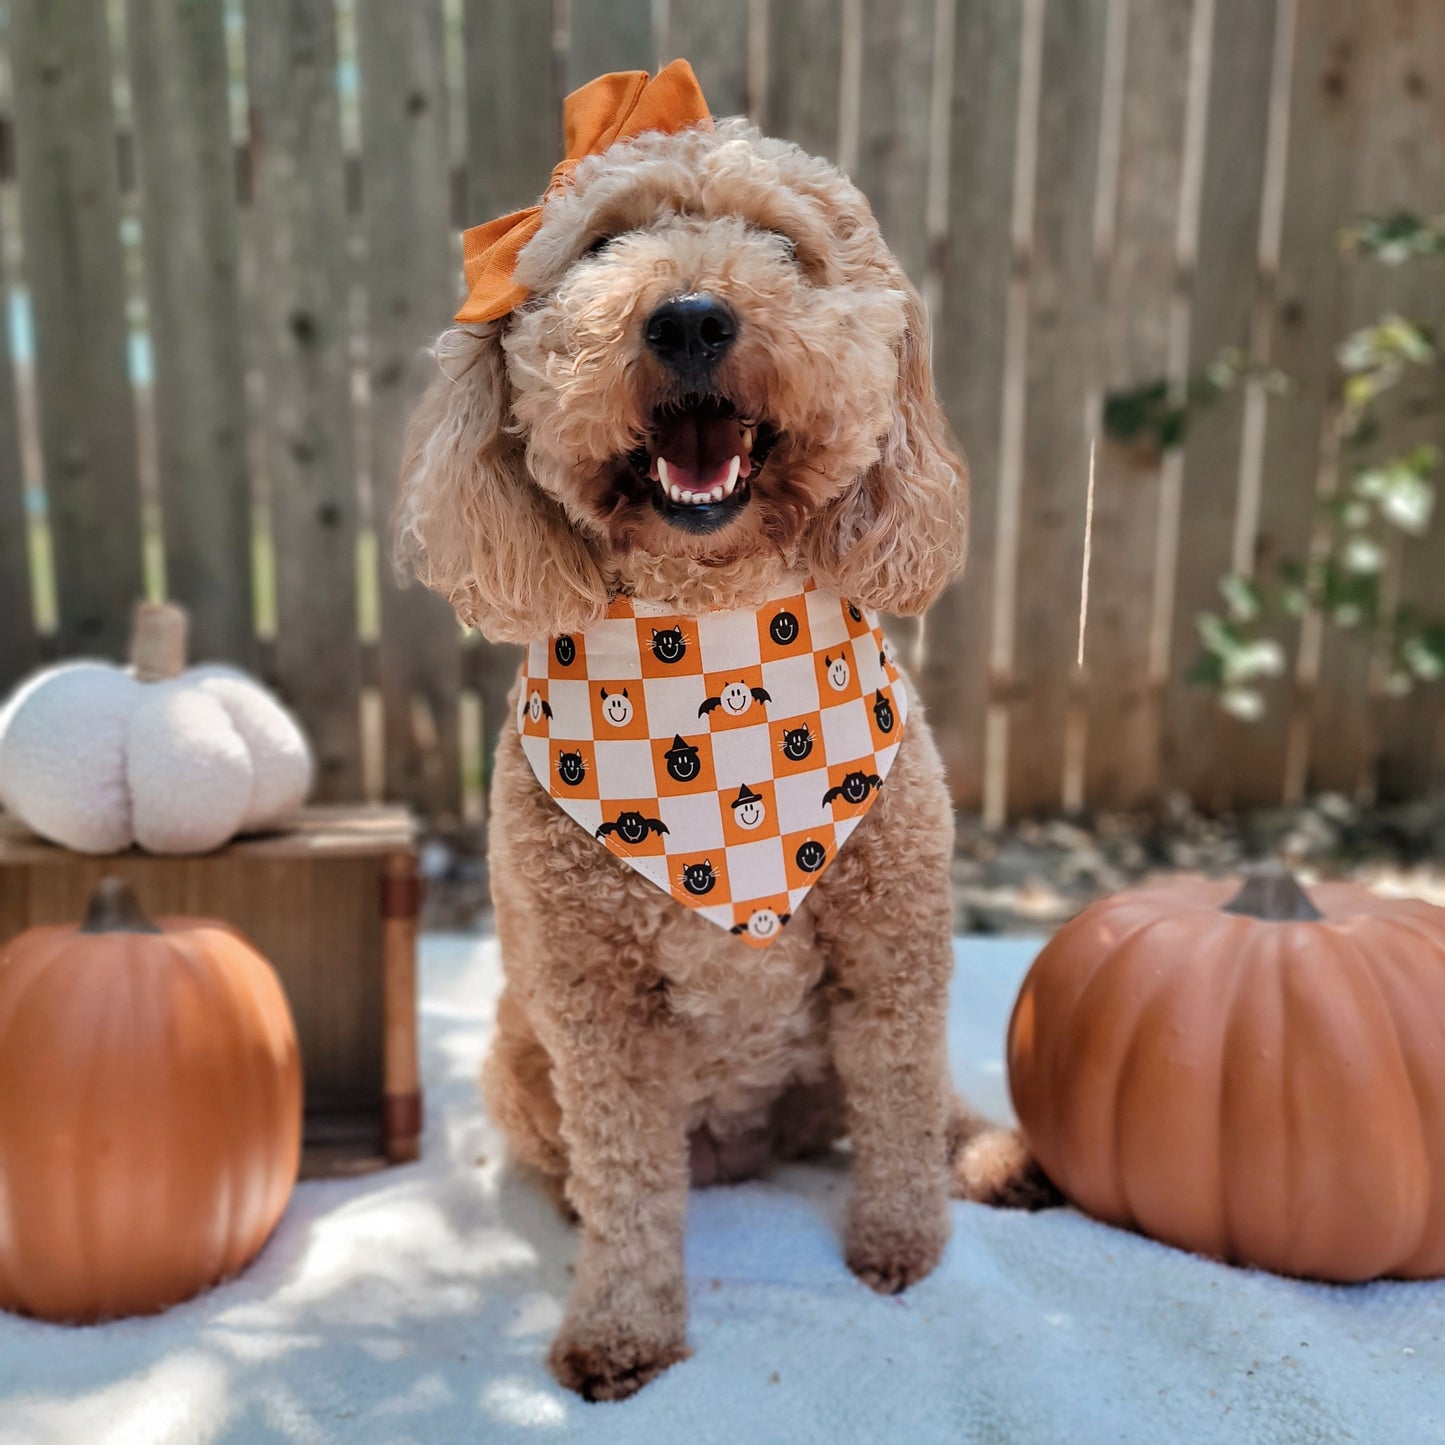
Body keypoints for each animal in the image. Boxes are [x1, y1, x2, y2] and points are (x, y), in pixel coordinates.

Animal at [401, 62, 1046, 1392]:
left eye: (783, 246)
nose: (690, 318)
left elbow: (898, 1109)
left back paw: (988, 1152)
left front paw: (902, 1242)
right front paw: (619, 1324)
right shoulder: (590, 1003)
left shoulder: (892, 944)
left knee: (914, 1102)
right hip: (513, 1053)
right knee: (587, 1164)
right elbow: (627, 1186)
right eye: (602, 243)